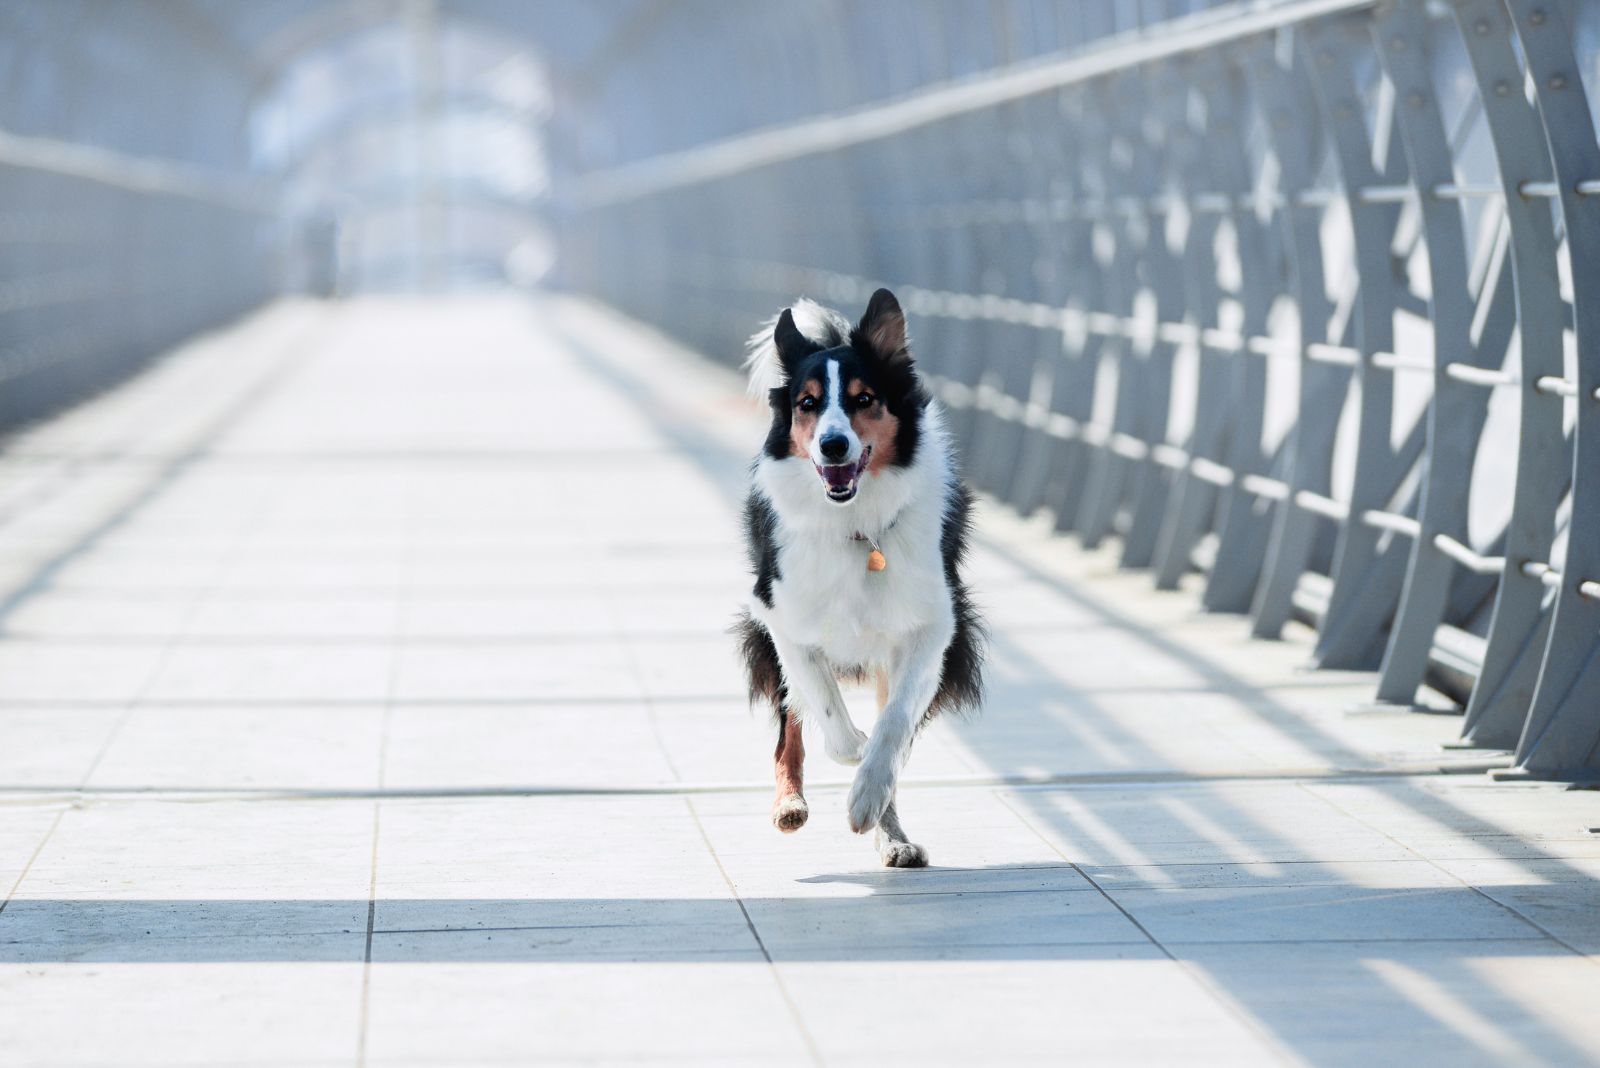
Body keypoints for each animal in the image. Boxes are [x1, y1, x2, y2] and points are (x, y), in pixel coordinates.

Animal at [732, 289, 979, 869]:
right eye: (807, 404)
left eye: (864, 399)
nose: (833, 446)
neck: (855, 524)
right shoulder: (780, 618)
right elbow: (831, 720)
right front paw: (854, 751)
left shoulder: (932, 627)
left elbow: (895, 724)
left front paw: (869, 794)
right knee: (791, 726)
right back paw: (790, 804)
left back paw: (893, 836)